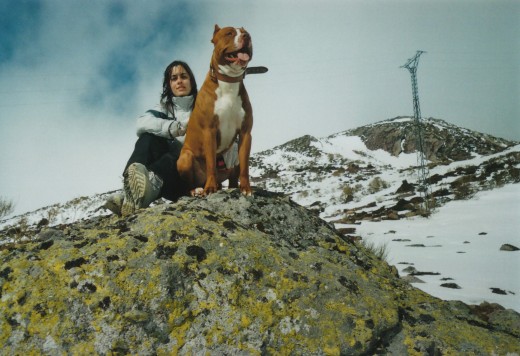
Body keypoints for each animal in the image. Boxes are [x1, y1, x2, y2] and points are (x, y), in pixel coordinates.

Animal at [177, 25, 254, 197]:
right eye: (229, 33)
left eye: (246, 32)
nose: (247, 36)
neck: (229, 82)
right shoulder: (209, 131)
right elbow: (211, 163)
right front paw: (210, 188)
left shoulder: (245, 133)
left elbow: (245, 166)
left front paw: (246, 189)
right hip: (185, 158)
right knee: (188, 182)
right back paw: (198, 189)